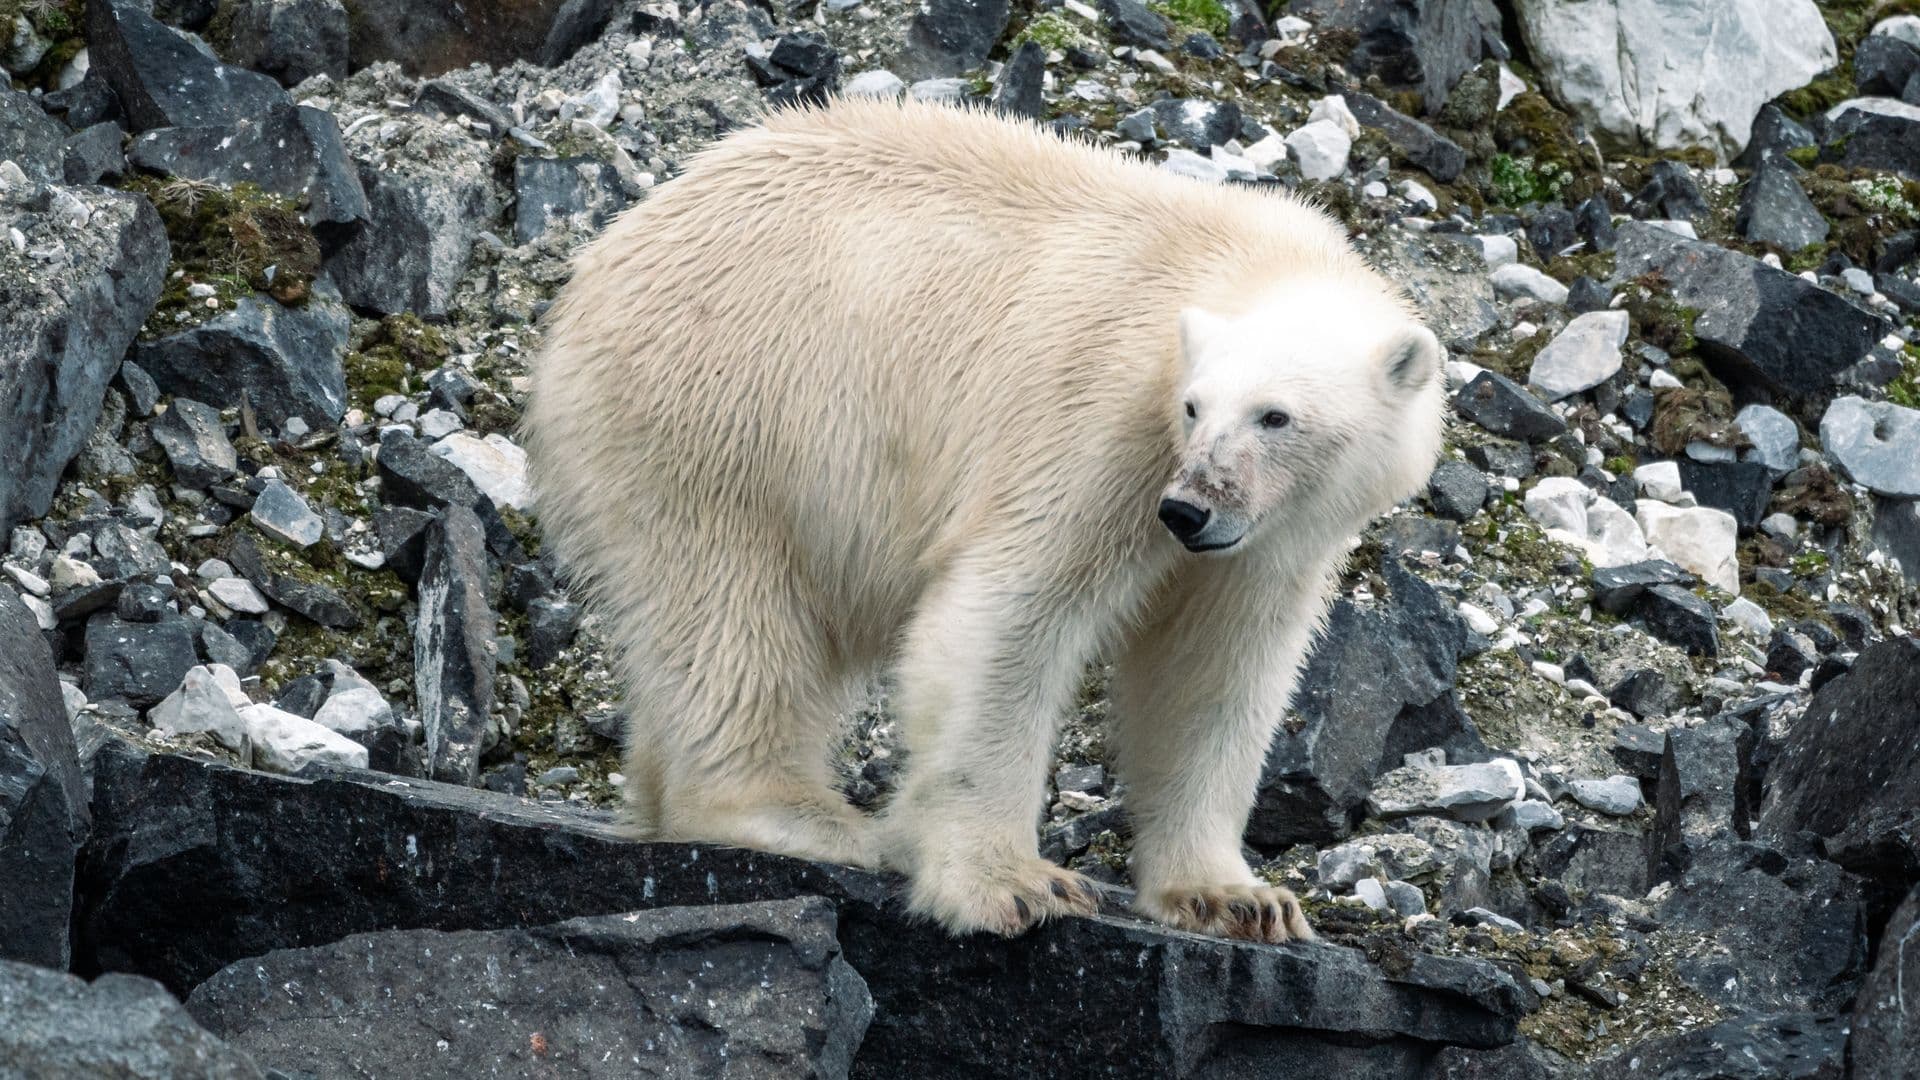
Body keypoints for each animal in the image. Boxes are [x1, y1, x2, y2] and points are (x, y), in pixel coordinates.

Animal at [523, 97, 1447, 942]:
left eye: (1275, 417)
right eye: (1195, 407)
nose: (1187, 510)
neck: (1237, 259)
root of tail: (597, 262)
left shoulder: (1273, 540)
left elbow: (1214, 669)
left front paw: (1238, 898)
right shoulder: (1101, 416)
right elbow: (1009, 613)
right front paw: (1013, 884)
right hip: (722, 411)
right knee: (730, 609)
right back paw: (798, 814)